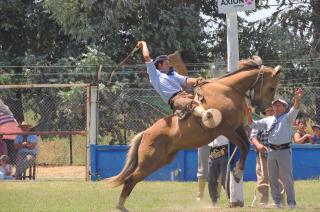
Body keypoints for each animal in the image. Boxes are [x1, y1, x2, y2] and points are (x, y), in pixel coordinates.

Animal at [105, 56, 280, 210]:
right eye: (271, 87)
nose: (264, 109)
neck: (227, 90)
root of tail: (146, 133)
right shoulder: (226, 129)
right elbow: (243, 146)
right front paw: (237, 172)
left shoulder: (237, 127)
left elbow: (246, 146)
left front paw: (238, 172)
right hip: (149, 161)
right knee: (130, 179)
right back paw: (120, 205)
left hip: (161, 160)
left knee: (132, 179)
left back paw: (121, 205)